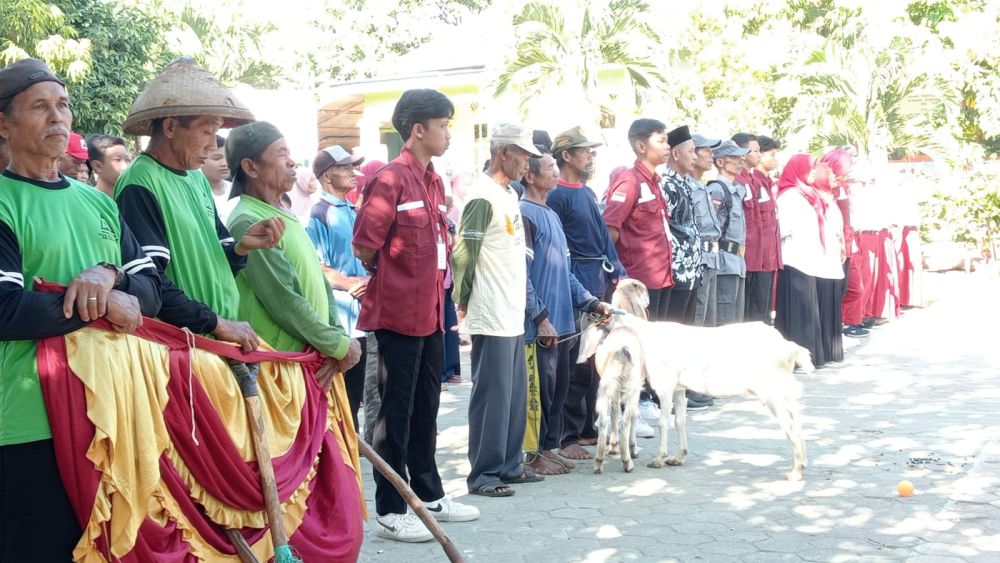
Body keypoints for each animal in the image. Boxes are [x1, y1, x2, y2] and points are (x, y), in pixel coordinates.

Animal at [580, 282, 812, 480]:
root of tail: (788, 346)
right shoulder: (679, 389)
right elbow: (679, 421)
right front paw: (678, 457)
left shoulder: (665, 387)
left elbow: (664, 422)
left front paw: (659, 459)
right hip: (783, 391)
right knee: (797, 420)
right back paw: (802, 464)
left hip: (772, 392)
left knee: (789, 425)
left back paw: (795, 471)